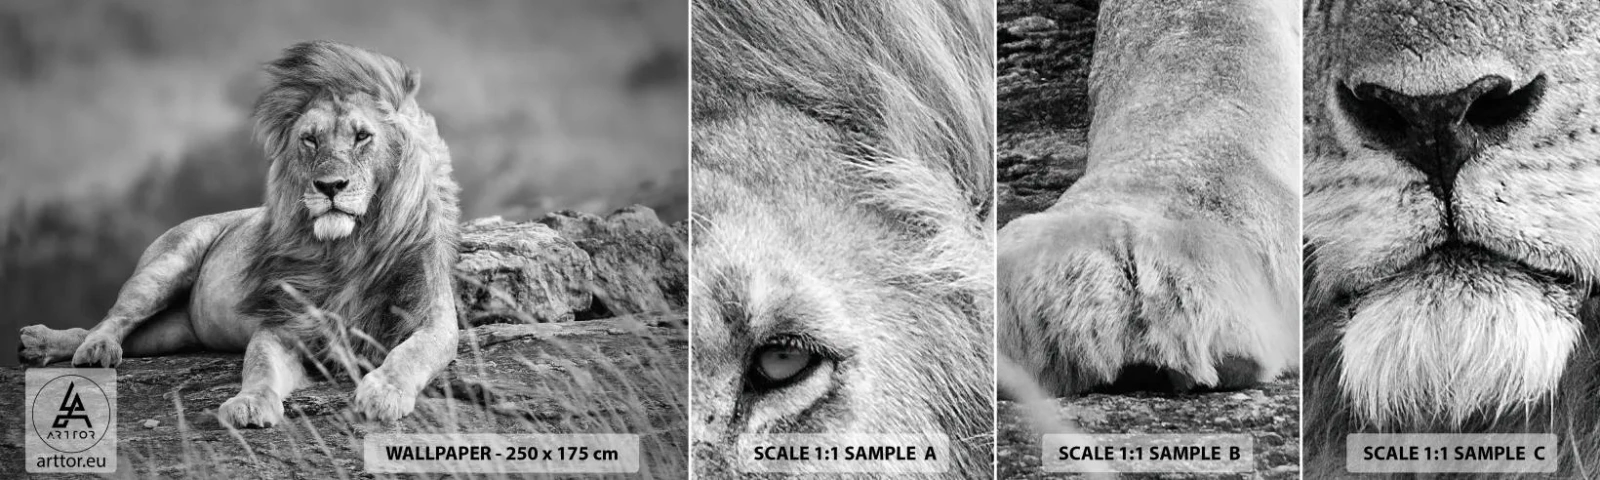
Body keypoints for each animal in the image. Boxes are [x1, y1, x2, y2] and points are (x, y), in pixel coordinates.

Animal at [17, 40, 461, 428]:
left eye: (362, 136)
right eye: (310, 139)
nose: (329, 186)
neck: (348, 248)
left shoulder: (433, 318)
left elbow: (412, 353)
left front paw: (384, 392)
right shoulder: (283, 323)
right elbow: (260, 366)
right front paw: (248, 404)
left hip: (170, 333)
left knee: (107, 331)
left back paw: (43, 344)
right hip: (165, 266)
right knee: (111, 319)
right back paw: (82, 348)